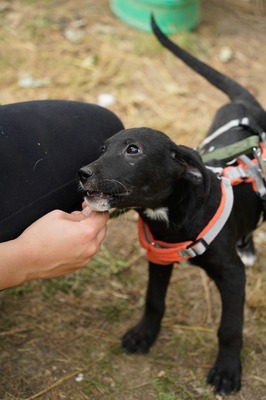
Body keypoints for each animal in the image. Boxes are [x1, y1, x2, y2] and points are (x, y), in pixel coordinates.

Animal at [78, 19, 266, 394]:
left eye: (132, 150)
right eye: (103, 149)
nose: (83, 173)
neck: (173, 215)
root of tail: (243, 102)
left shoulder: (232, 275)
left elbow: (230, 328)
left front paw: (227, 371)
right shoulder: (158, 257)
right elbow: (154, 300)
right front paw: (144, 335)